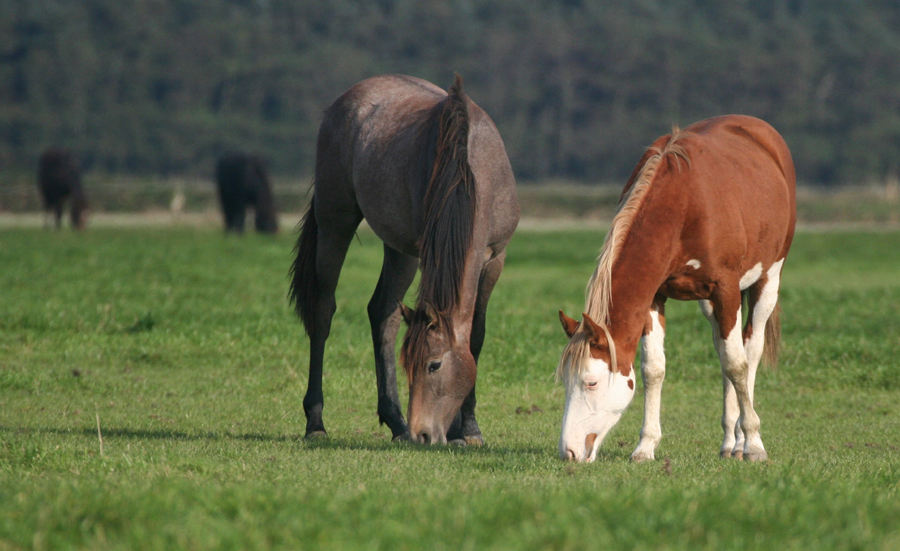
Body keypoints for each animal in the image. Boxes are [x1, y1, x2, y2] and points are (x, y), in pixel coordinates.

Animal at [292, 74, 520, 444]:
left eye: (433, 365)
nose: (422, 433)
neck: (470, 169)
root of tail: (345, 100)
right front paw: (459, 429)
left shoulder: (494, 259)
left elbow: (475, 337)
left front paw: (468, 428)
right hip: (335, 223)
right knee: (323, 313)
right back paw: (316, 422)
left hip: (400, 251)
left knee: (383, 314)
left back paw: (394, 421)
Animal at [556, 114, 796, 464]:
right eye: (565, 381)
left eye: (591, 382)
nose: (569, 452)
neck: (682, 204)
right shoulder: (656, 296)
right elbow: (654, 369)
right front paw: (645, 446)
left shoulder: (725, 289)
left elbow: (737, 365)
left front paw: (753, 443)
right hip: (710, 305)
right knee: (723, 350)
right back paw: (728, 441)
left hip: (767, 280)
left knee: (749, 352)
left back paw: (741, 440)